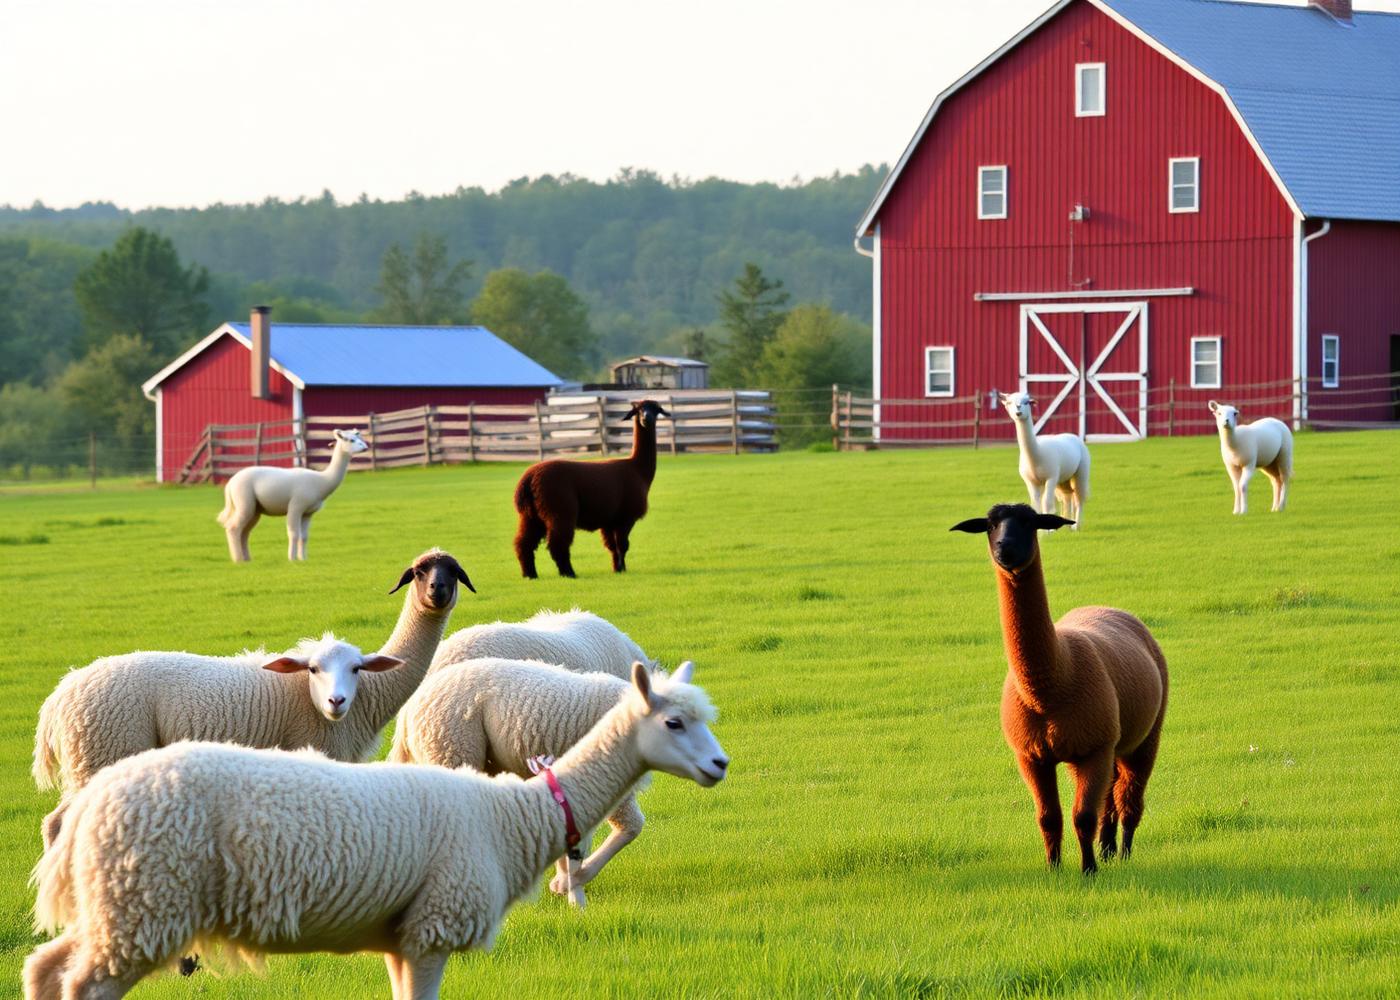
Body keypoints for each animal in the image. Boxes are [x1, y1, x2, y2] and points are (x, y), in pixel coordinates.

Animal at [33, 548, 473, 846]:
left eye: (454, 572)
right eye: (419, 572)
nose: (437, 590)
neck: (370, 695)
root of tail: (59, 696)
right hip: (101, 751)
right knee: (59, 823)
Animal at [217, 427, 368, 562]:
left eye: (360, 438)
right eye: (351, 440)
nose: (365, 447)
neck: (321, 481)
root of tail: (230, 484)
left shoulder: (308, 513)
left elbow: (304, 536)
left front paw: (303, 558)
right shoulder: (296, 506)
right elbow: (293, 534)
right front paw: (292, 559)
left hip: (254, 509)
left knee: (245, 532)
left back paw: (247, 558)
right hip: (244, 502)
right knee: (233, 528)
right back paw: (238, 559)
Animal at [513, 399, 669, 578]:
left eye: (656, 410)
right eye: (638, 410)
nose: (646, 419)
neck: (638, 470)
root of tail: (528, 479)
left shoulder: (609, 519)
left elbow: (612, 546)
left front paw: (617, 569)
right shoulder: (625, 516)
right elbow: (623, 545)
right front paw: (622, 569)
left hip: (530, 514)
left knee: (524, 543)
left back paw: (530, 575)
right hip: (560, 508)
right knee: (558, 543)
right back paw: (569, 573)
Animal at [951, 503, 1167, 874]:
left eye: (1029, 522)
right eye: (990, 525)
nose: (1005, 549)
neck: (1049, 687)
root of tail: (1108, 608)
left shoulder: (1093, 749)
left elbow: (1082, 816)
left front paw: (1088, 871)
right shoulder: (1031, 756)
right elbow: (1048, 817)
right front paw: (1054, 868)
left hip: (1143, 736)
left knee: (1129, 798)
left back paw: (1122, 853)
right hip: (1103, 742)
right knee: (1109, 797)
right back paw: (1107, 849)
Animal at [1001, 391, 1090, 529]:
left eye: (1027, 402)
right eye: (1009, 403)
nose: (1018, 412)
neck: (1036, 456)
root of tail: (1073, 436)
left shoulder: (1051, 477)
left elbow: (1046, 503)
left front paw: (1049, 531)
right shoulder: (1031, 481)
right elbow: (1036, 504)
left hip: (1081, 472)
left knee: (1079, 497)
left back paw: (1076, 526)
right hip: (1062, 479)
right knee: (1067, 496)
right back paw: (1067, 524)